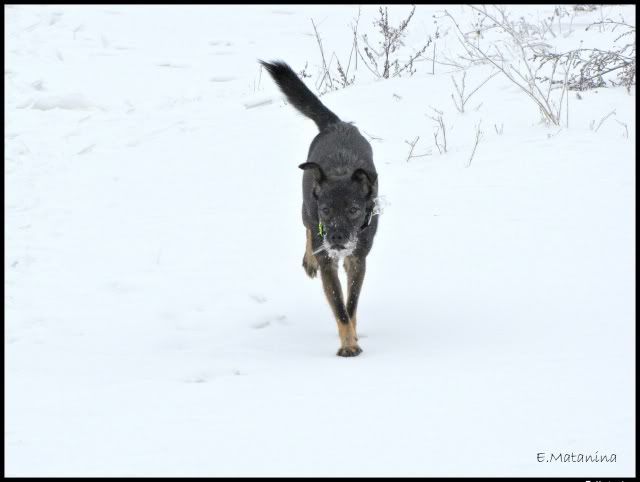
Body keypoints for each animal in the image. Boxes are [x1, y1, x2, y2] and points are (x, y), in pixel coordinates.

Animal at [259, 60, 379, 357]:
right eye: (326, 210)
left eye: (354, 210)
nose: (336, 237)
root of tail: (337, 124)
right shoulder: (327, 260)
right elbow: (340, 308)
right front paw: (348, 345)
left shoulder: (358, 259)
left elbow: (351, 305)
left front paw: (353, 336)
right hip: (306, 210)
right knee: (307, 231)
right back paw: (309, 258)